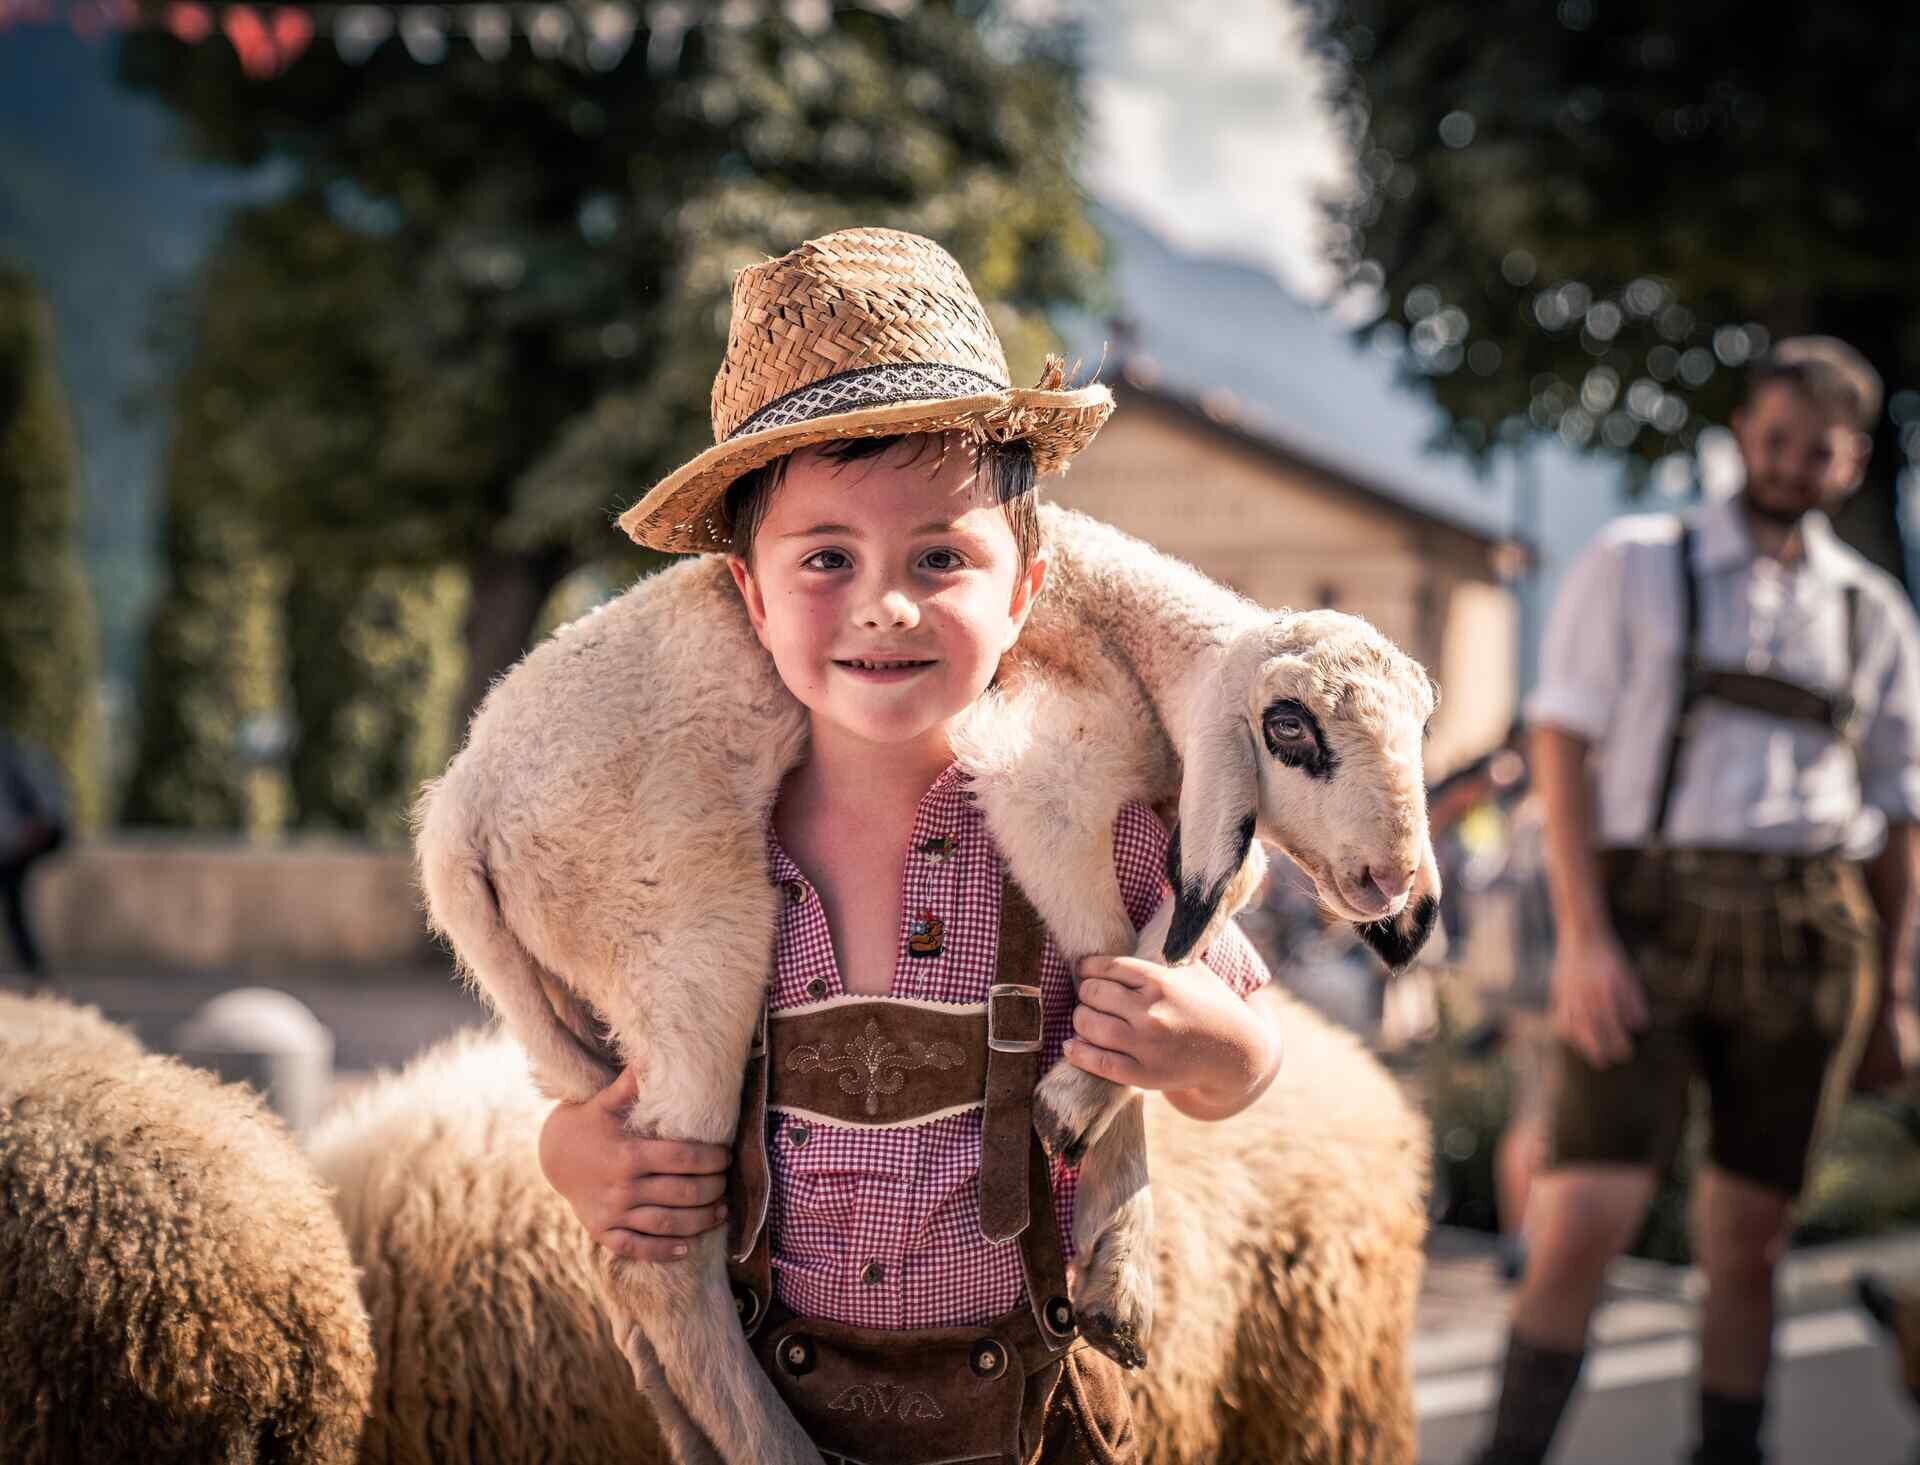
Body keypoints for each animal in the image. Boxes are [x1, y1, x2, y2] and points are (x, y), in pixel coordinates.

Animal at [416, 503, 1443, 1465]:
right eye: (1288, 726)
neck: (1121, 632)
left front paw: (1116, 1253)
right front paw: (1093, 1167)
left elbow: (1192, 922)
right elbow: (1121, 947)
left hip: (583, 1020)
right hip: (689, 947)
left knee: (636, 1285)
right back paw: (777, 1444)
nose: (1400, 889)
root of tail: (459, 812)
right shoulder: (1043, 771)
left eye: (1422, 724)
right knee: (665, 1273)